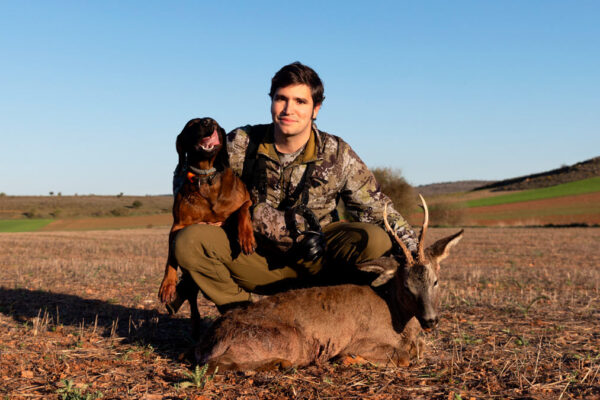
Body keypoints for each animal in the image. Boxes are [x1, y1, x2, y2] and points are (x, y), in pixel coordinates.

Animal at [158, 117, 254, 336]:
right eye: (192, 124)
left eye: (215, 123)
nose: (207, 122)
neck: (205, 176)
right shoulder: (178, 226)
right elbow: (170, 258)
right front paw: (167, 284)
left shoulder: (247, 200)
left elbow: (243, 211)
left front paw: (246, 237)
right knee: (192, 299)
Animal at [197, 195, 464, 370]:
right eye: (406, 286)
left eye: (436, 281)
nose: (430, 320)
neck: (398, 319)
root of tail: (210, 340)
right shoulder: (360, 341)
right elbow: (402, 356)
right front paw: (348, 359)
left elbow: (419, 348)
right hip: (289, 339)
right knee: (215, 364)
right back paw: (279, 363)